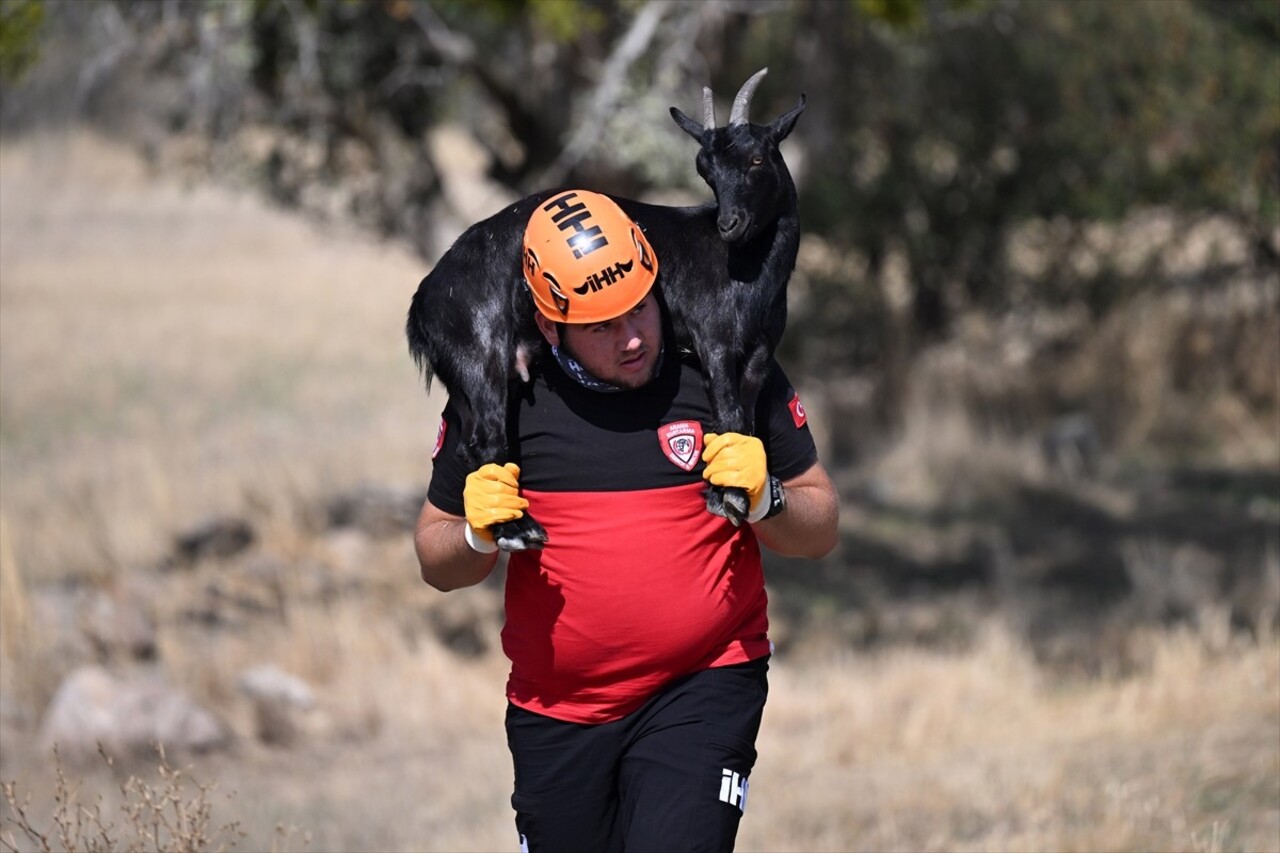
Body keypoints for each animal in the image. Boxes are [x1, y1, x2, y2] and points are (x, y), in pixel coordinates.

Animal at [409, 64, 803, 545]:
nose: (730, 223)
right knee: (485, 440)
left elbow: (745, 424)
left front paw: (734, 488)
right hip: (478, 358)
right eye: (705, 169)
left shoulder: (761, 351)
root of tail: (424, 303)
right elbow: (728, 411)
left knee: (470, 447)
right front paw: (727, 498)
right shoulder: (714, 338)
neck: (748, 272)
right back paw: (519, 529)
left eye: (758, 159)